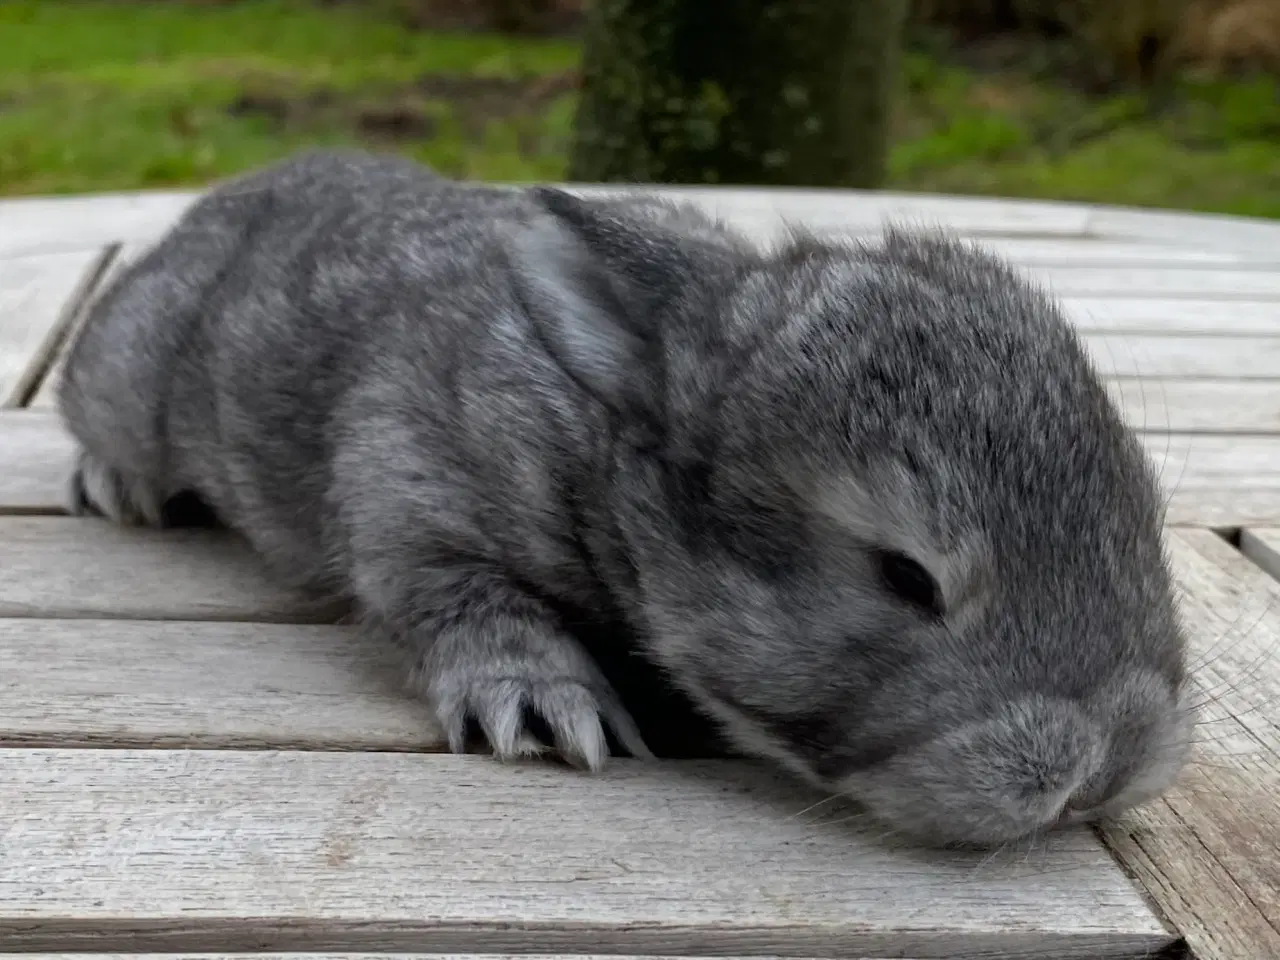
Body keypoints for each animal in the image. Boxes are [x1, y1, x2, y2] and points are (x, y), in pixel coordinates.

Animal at [57, 146, 1198, 844]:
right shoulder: (412, 485)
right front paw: (543, 707)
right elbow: (452, 590)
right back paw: (116, 484)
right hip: (131, 381)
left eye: (1146, 511)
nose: (1109, 763)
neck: (602, 448)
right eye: (905, 576)